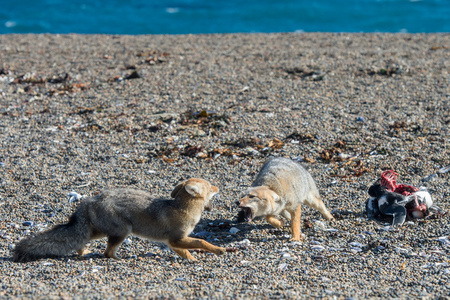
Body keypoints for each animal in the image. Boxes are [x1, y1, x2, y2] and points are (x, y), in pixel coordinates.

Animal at [12, 179, 227, 262]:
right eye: (210, 186)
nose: (219, 186)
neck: (183, 208)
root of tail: (89, 200)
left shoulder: (173, 242)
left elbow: (186, 251)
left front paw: (191, 259)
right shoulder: (176, 239)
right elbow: (201, 241)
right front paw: (218, 249)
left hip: (99, 232)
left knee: (81, 241)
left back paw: (83, 252)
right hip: (123, 231)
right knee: (107, 253)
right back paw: (118, 259)